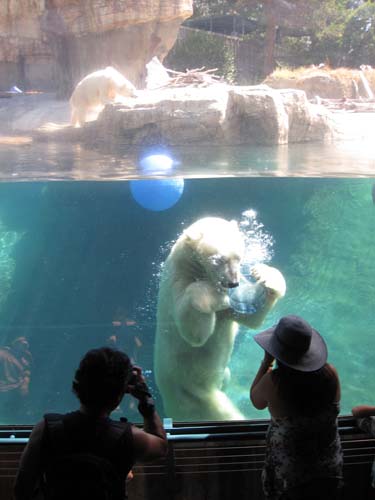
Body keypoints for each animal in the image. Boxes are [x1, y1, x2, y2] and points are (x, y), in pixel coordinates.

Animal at [154, 218, 286, 422]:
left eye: (239, 257)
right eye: (218, 260)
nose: (233, 282)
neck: (190, 266)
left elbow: (250, 317)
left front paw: (265, 275)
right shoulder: (175, 285)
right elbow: (194, 333)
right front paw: (212, 295)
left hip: (220, 378)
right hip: (193, 397)